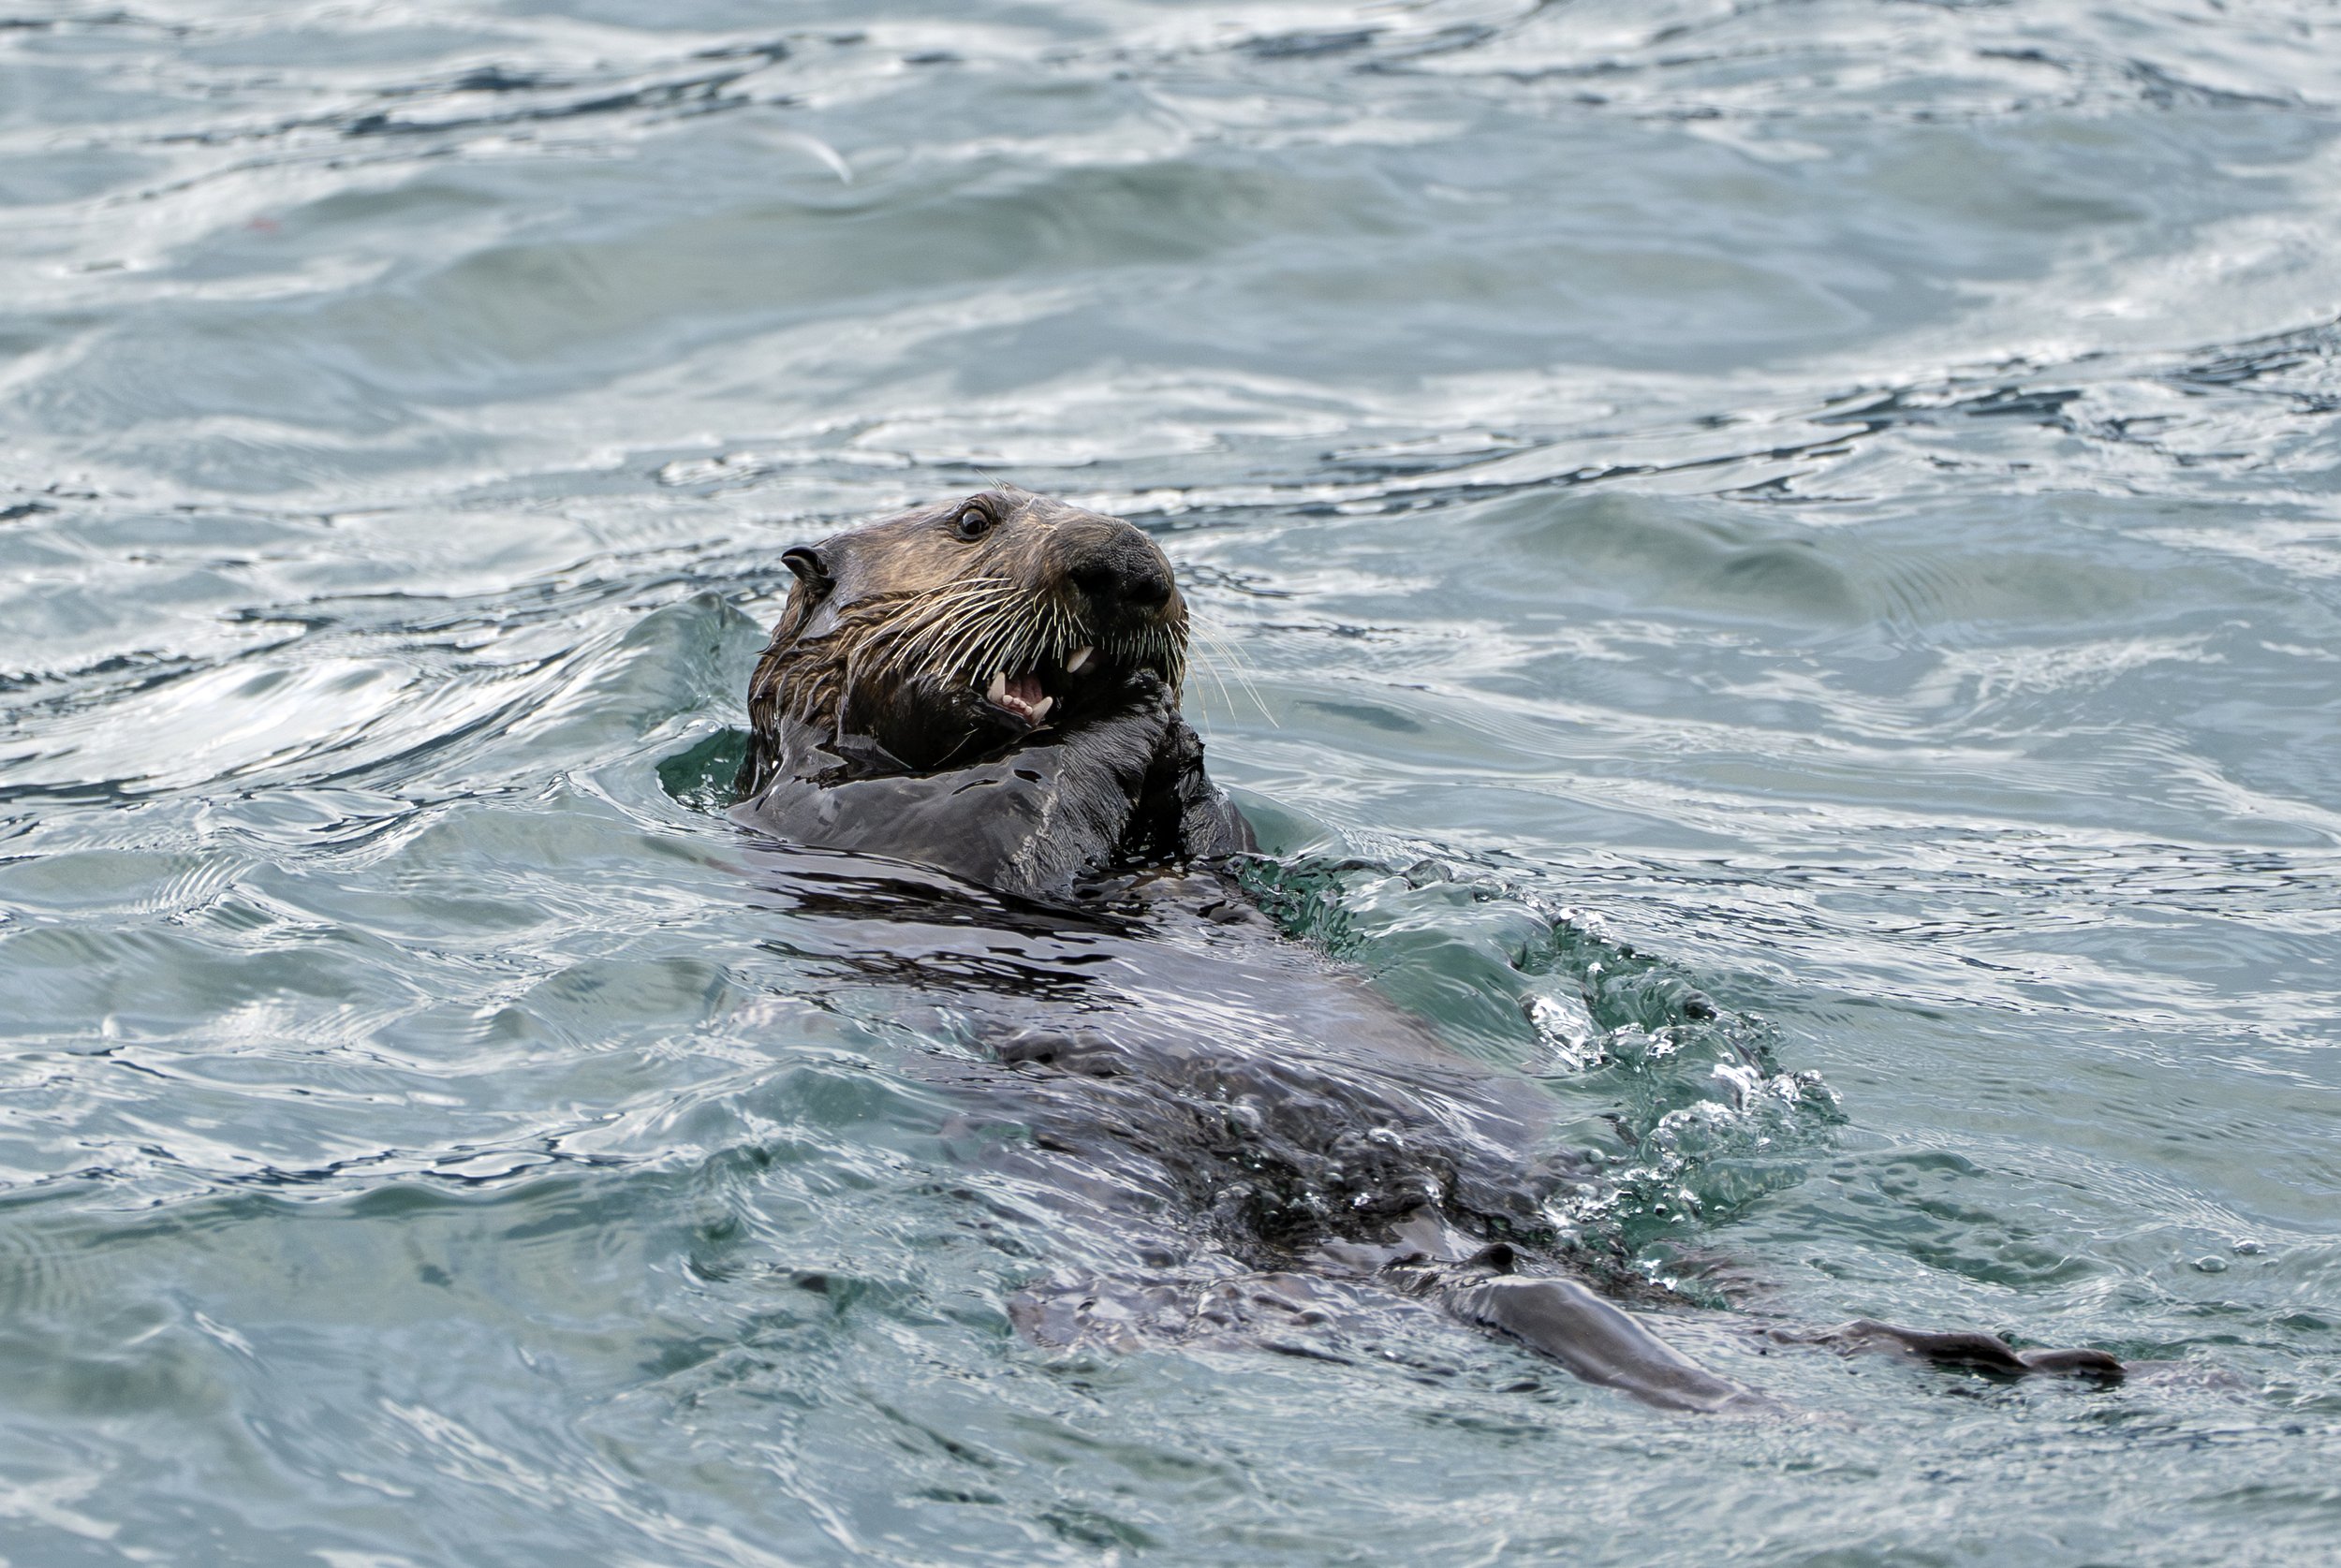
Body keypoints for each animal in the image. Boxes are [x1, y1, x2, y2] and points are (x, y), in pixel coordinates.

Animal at [730, 487, 2122, 1411]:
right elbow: (1017, 811)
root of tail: (1428, 1231)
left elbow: (1213, 843)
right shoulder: (874, 818)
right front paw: (1124, 712)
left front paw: (1172, 725)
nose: (1125, 567)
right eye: (976, 517)